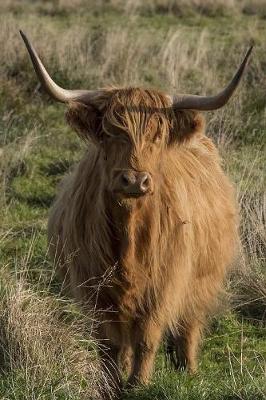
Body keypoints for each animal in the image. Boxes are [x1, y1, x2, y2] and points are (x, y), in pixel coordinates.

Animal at [20, 32, 251, 400]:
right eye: (111, 133)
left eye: (157, 134)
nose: (134, 180)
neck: (128, 236)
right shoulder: (96, 290)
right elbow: (111, 346)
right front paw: (111, 385)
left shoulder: (164, 285)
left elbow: (147, 337)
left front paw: (139, 384)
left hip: (201, 280)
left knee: (189, 327)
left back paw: (189, 371)